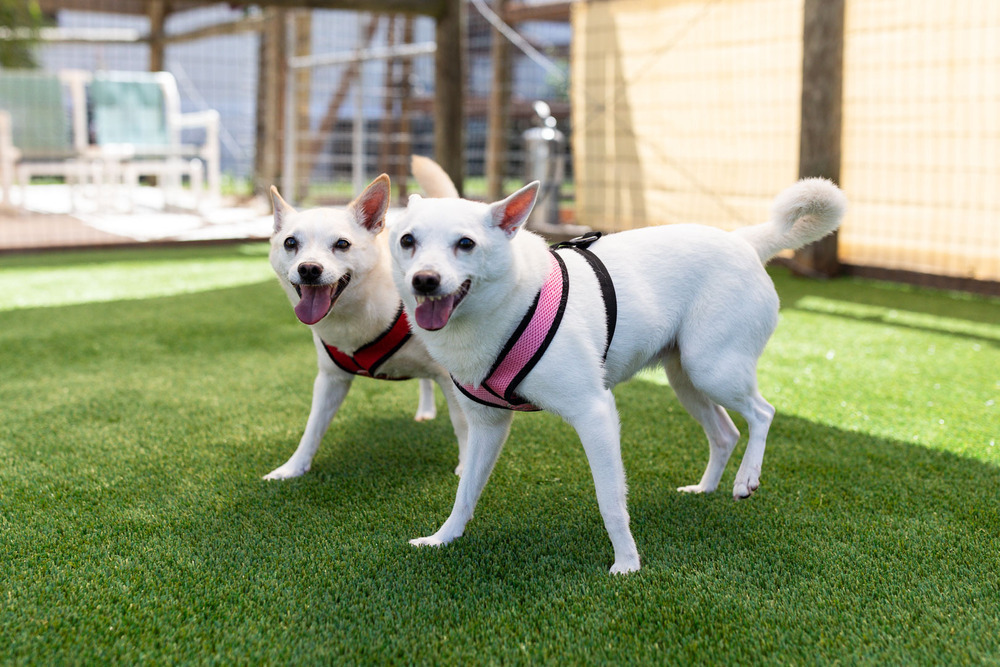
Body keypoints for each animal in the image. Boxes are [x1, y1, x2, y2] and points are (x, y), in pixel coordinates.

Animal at [266, 174, 468, 480]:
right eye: (290, 243)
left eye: (342, 244)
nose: (309, 268)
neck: (352, 316)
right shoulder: (330, 380)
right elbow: (312, 429)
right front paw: (292, 467)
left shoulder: (450, 378)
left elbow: (463, 425)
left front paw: (467, 466)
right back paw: (425, 410)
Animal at [390, 163, 844, 576]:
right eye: (407, 240)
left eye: (465, 243)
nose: (424, 280)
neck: (510, 302)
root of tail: (743, 241)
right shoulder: (487, 426)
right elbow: (465, 492)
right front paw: (443, 538)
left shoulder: (594, 412)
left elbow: (610, 500)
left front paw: (627, 562)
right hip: (687, 380)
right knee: (726, 433)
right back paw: (705, 487)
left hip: (714, 369)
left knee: (763, 413)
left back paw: (746, 478)